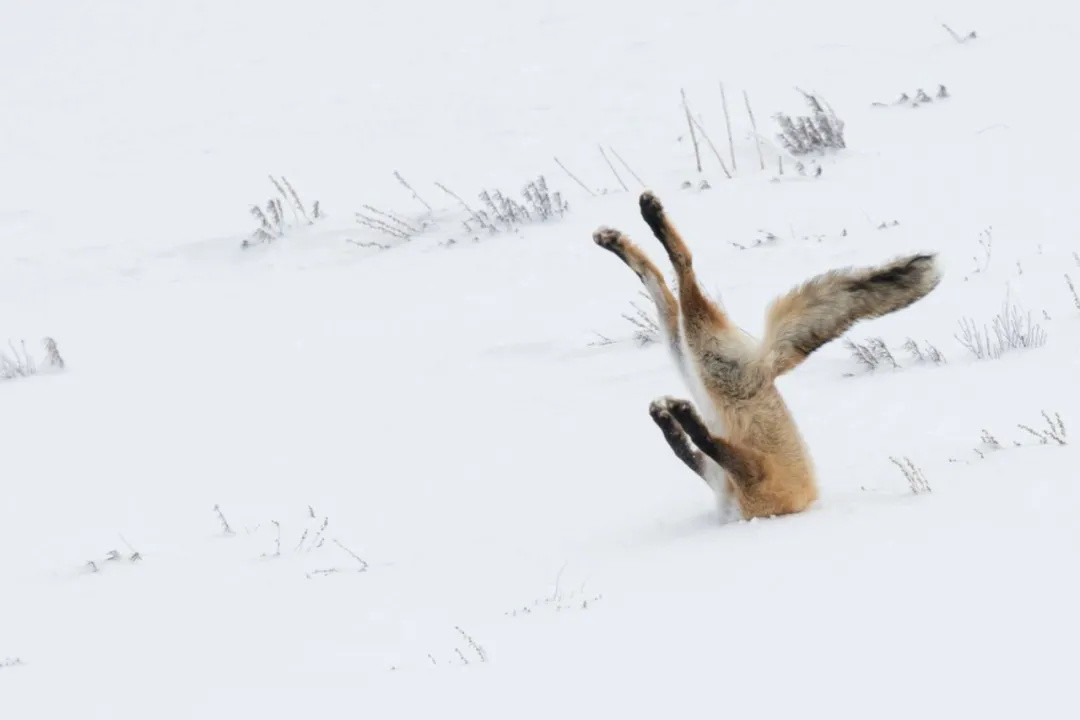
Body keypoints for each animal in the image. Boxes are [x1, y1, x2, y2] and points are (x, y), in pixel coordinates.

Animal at [596, 191, 941, 518]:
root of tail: (767, 365)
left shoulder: (752, 476)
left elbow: (702, 443)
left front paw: (680, 416)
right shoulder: (725, 475)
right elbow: (685, 448)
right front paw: (669, 417)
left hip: (702, 354)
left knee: (683, 268)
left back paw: (650, 218)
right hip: (689, 353)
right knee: (659, 281)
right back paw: (617, 239)